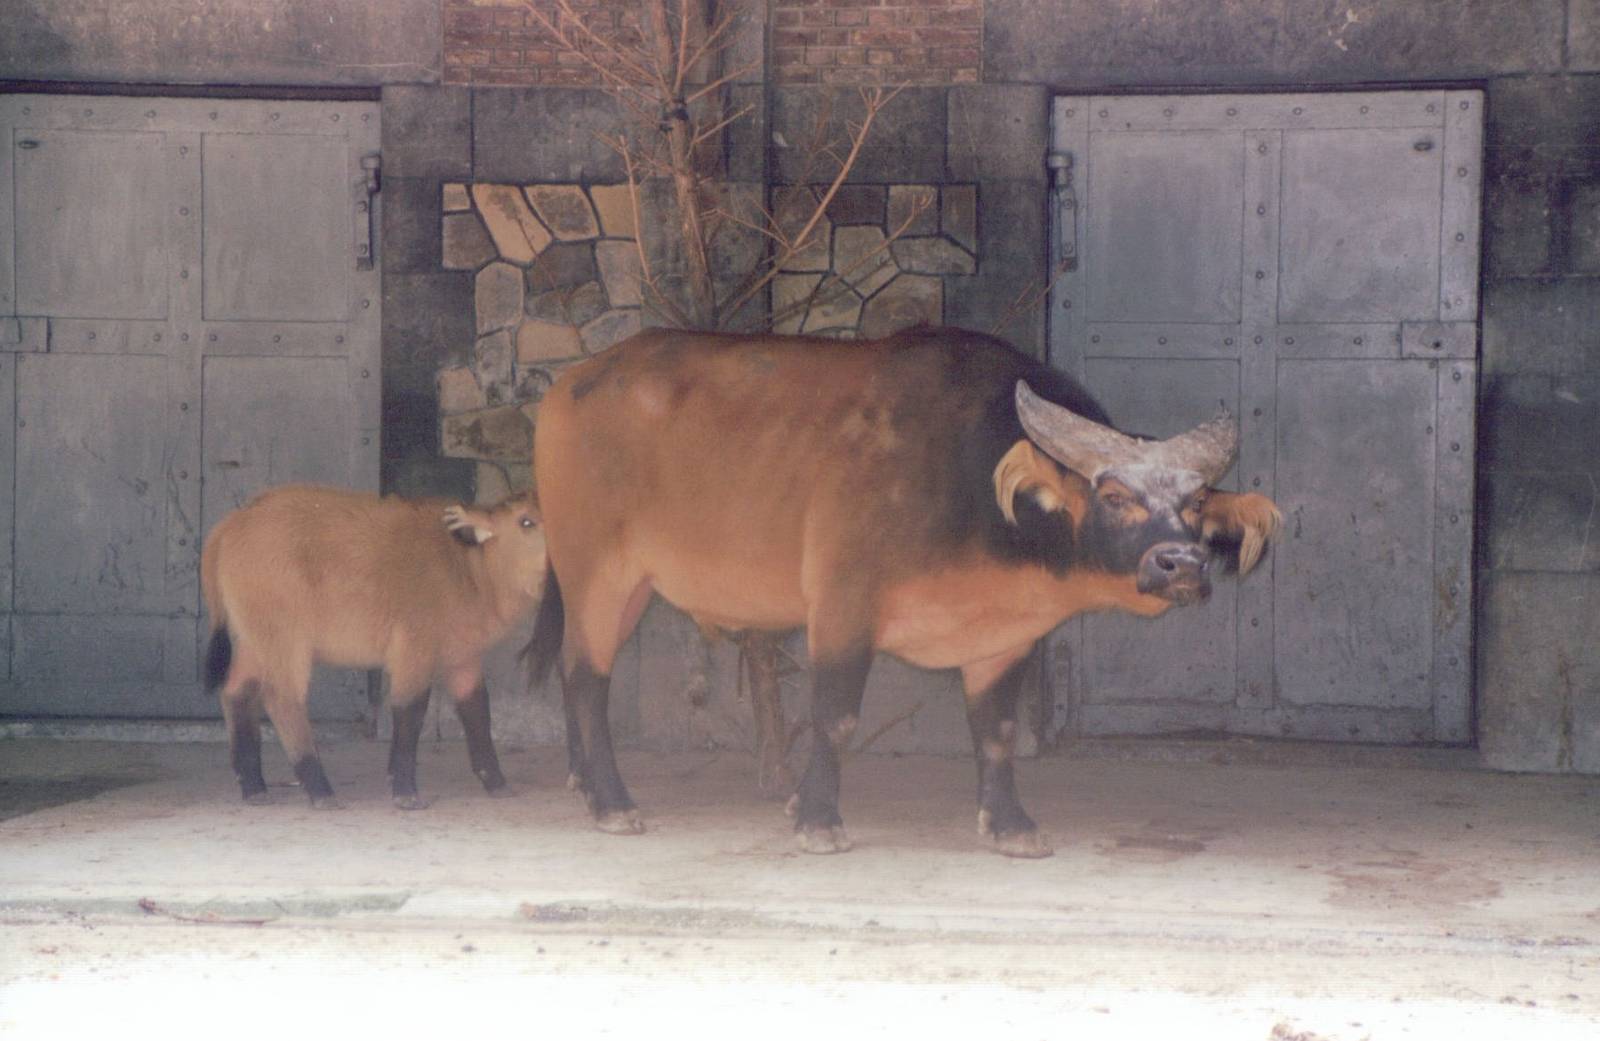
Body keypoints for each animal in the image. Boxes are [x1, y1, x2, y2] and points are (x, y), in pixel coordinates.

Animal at [201, 485, 547, 809]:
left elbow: (478, 715)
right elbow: (410, 713)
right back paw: (320, 790)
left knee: (235, 693)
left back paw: (254, 787)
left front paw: (497, 784)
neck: (469, 570)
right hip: (285, 640)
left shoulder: (464, 660)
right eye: (526, 521)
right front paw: (405, 792)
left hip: (253, 641)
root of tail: (231, 524)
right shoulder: (413, 651)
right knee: (282, 700)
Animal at [528, 326, 1280, 857]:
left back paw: (581, 782)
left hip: (629, 585)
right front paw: (817, 817)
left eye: (1196, 502)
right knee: (585, 673)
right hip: (596, 569)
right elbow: (835, 716)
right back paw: (612, 802)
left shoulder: (1003, 641)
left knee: (572, 670)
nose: (1182, 563)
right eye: (1116, 495)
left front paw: (1010, 824)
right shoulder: (842, 607)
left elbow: (998, 731)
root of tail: (572, 383)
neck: (970, 492)